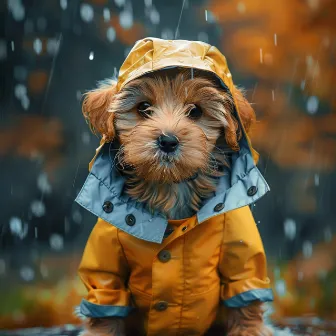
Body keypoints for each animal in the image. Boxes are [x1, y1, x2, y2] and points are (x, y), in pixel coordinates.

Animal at [75, 38, 272, 334]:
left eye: (196, 111)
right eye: (143, 108)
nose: (167, 140)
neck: (170, 186)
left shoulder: (240, 253)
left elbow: (245, 297)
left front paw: (249, 330)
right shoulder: (107, 260)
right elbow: (106, 303)